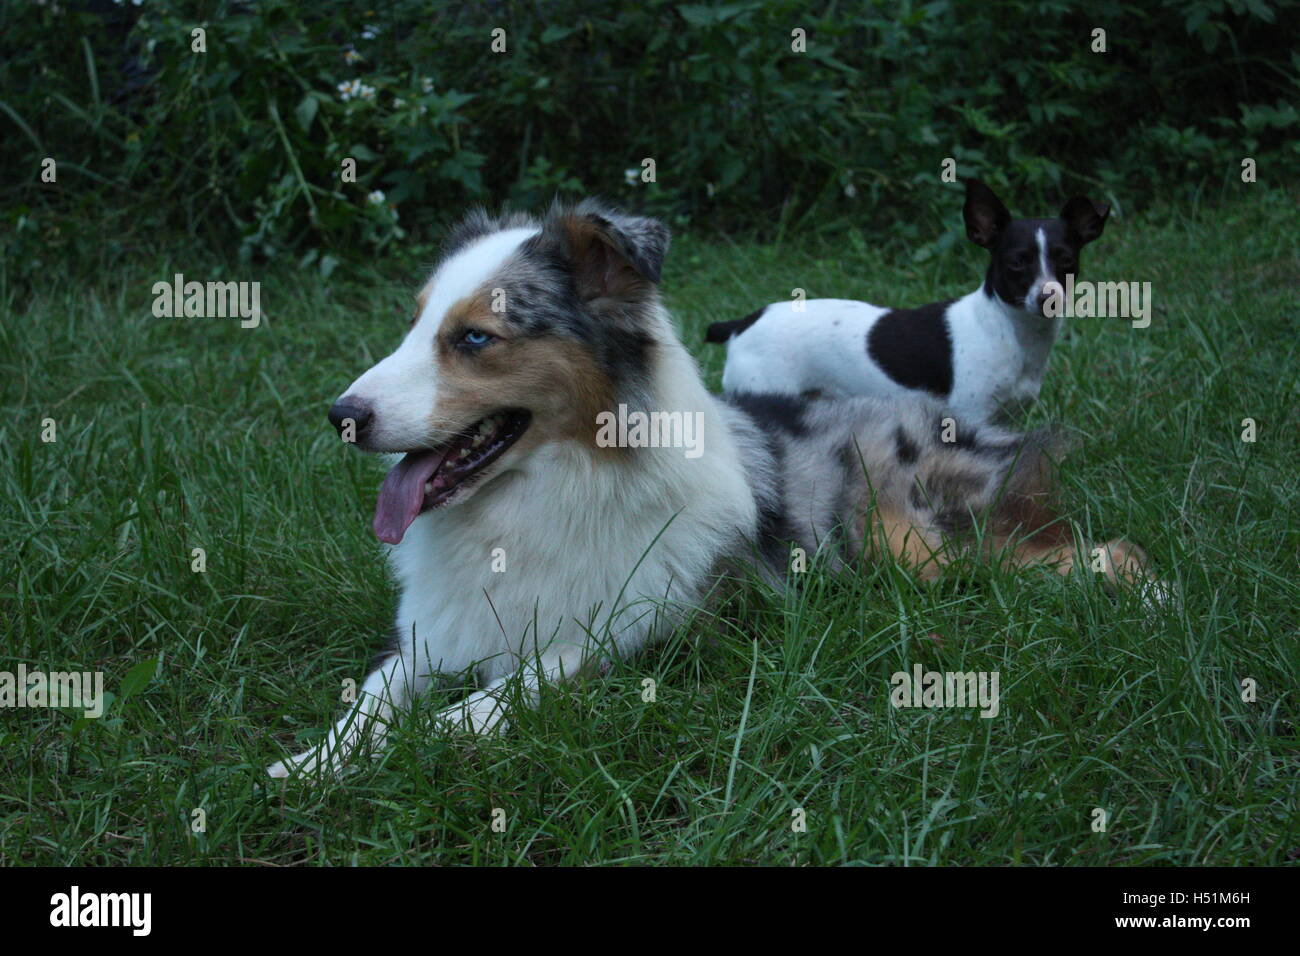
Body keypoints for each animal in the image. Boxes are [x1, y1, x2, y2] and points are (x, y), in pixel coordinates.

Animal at [707, 180, 1112, 426]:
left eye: (1066, 261)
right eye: (1016, 263)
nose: (1048, 297)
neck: (1006, 330)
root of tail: (742, 324)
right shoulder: (972, 416)